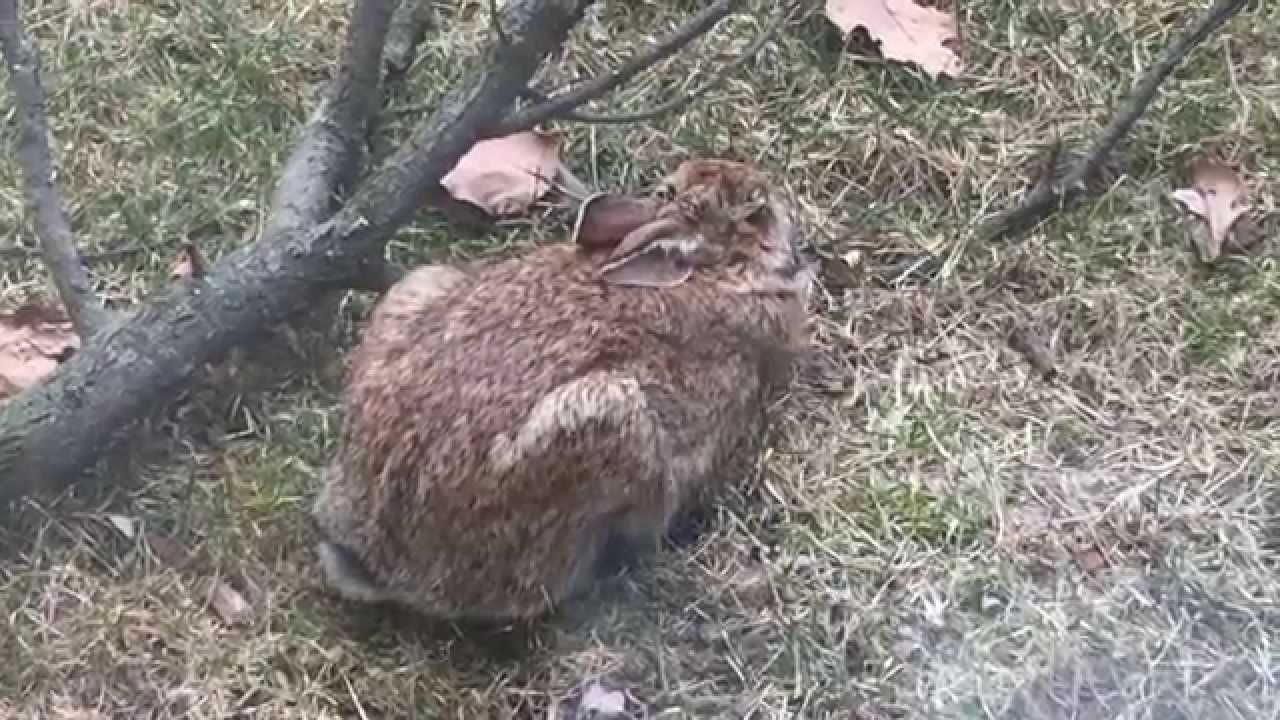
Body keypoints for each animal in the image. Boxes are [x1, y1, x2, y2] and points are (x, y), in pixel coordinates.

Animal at [310, 157, 818, 622]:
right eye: (756, 213)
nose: (775, 193)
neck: (718, 273)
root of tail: (377, 563)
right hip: (610, 422)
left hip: (418, 286)